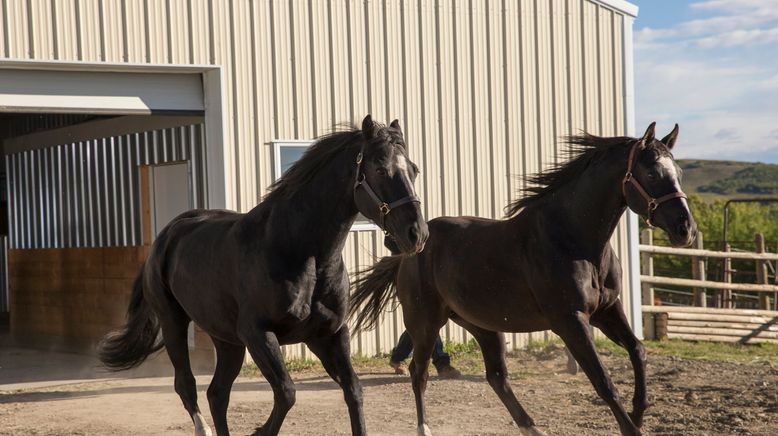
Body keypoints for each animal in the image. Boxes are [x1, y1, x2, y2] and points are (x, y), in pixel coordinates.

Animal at [99, 114, 428, 434]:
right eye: (380, 169)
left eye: (414, 170)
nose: (417, 234)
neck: (298, 250)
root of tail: (168, 233)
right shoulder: (258, 334)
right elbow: (286, 393)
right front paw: (260, 430)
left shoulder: (329, 335)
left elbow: (354, 391)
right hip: (174, 324)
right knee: (187, 386)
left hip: (227, 340)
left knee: (217, 394)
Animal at [348, 122, 696, 436]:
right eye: (652, 174)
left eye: (678, 174)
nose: (686, 229)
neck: (573, 239)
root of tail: (411, 249)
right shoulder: (571, 320)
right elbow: (603, 381)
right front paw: (631, 426)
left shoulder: (607, 310)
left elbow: (638, 350)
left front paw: (639, 411)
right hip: (425, 322)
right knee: (418, 373)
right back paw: (424, 427)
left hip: (484, 326)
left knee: (497, 377)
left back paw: (532, 428)